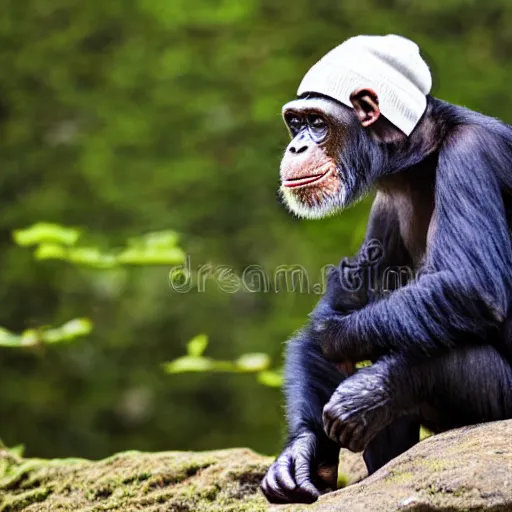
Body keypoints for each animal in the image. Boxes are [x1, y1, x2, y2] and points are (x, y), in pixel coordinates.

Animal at [262, 35, 512, 504]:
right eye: (295, 123)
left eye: (317, 123)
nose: (296, 146)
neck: (420, 155)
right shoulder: (385, 207)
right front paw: (301, 451)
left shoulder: (473, 153)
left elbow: (472, 284)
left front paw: (335, 337)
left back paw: (376, 391)